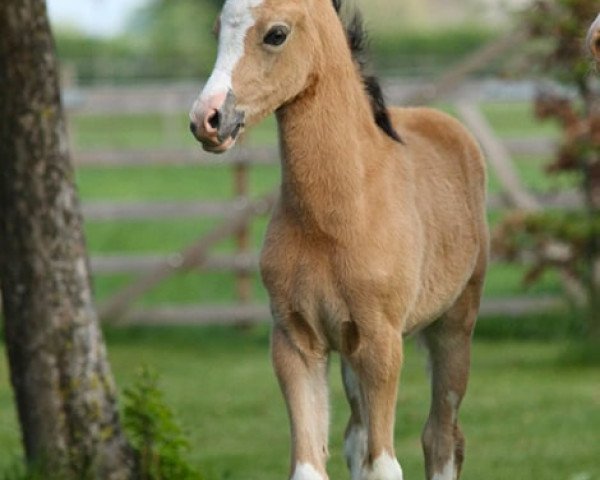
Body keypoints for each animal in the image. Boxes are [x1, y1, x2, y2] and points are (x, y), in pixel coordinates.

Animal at [190, 0, 490, 480]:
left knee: (442, 437)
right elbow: (312, 465)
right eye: (218, 31)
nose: (207, 119)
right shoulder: (295, 341)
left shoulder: (382, 343)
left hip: (454, 324)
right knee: (356, 437)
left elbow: (385, 465)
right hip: (349, 349)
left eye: (276, 34)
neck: (336, 217)